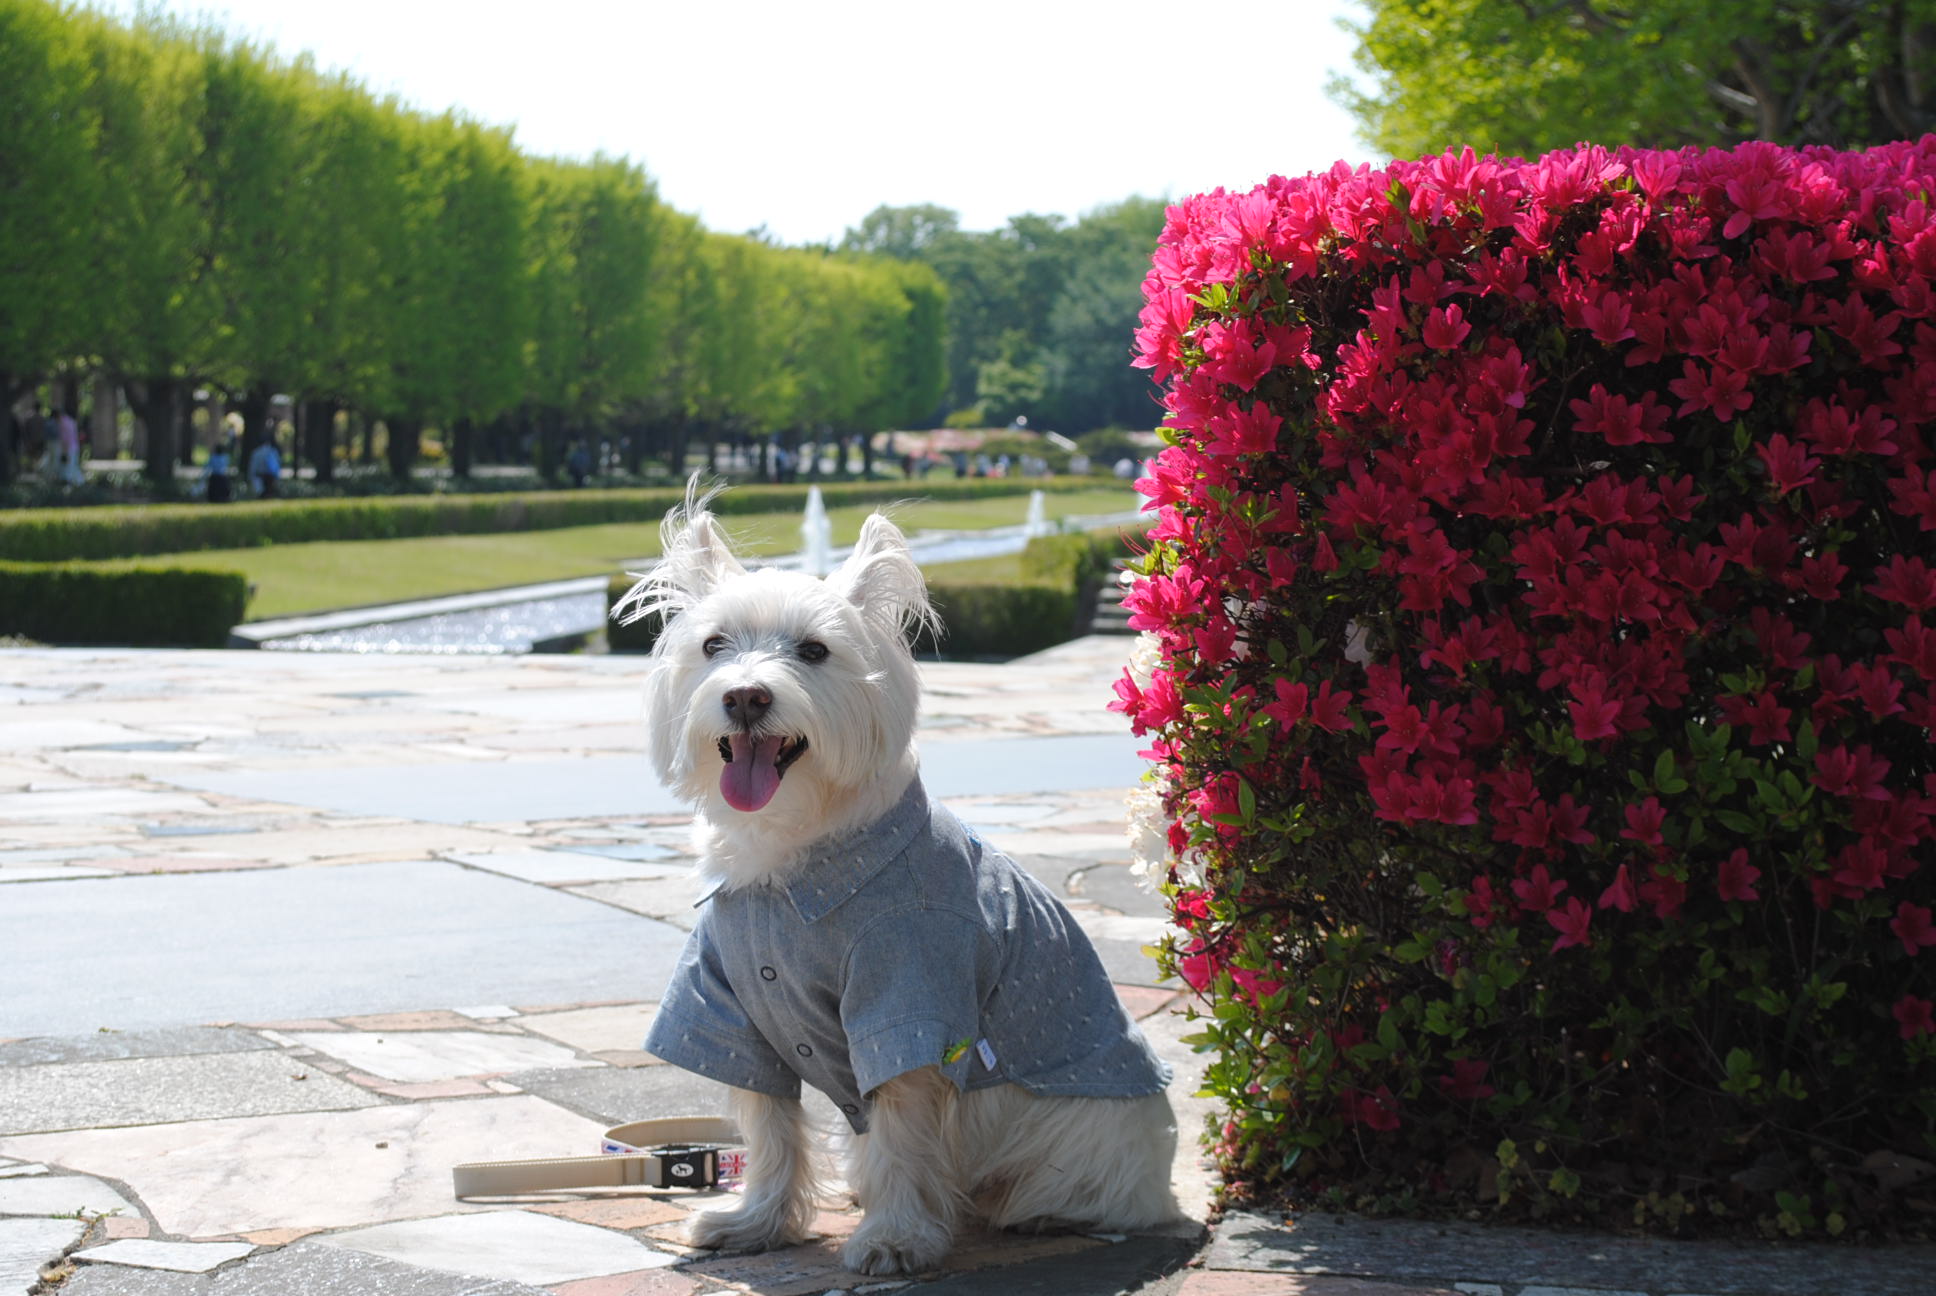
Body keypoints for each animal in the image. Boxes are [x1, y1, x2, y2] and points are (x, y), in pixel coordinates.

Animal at [611, 490, 1177, 1270]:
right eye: (715, 645)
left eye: (814, 651)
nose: (748, 697)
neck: (794, 854)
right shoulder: (734, 1009)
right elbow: (769, 1125)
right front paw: (755, 1221)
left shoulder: (911, 990)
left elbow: (903, 1128)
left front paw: (895, 1237)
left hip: (1087, 1130)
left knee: (1079, 1184)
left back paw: (1030, 1208)